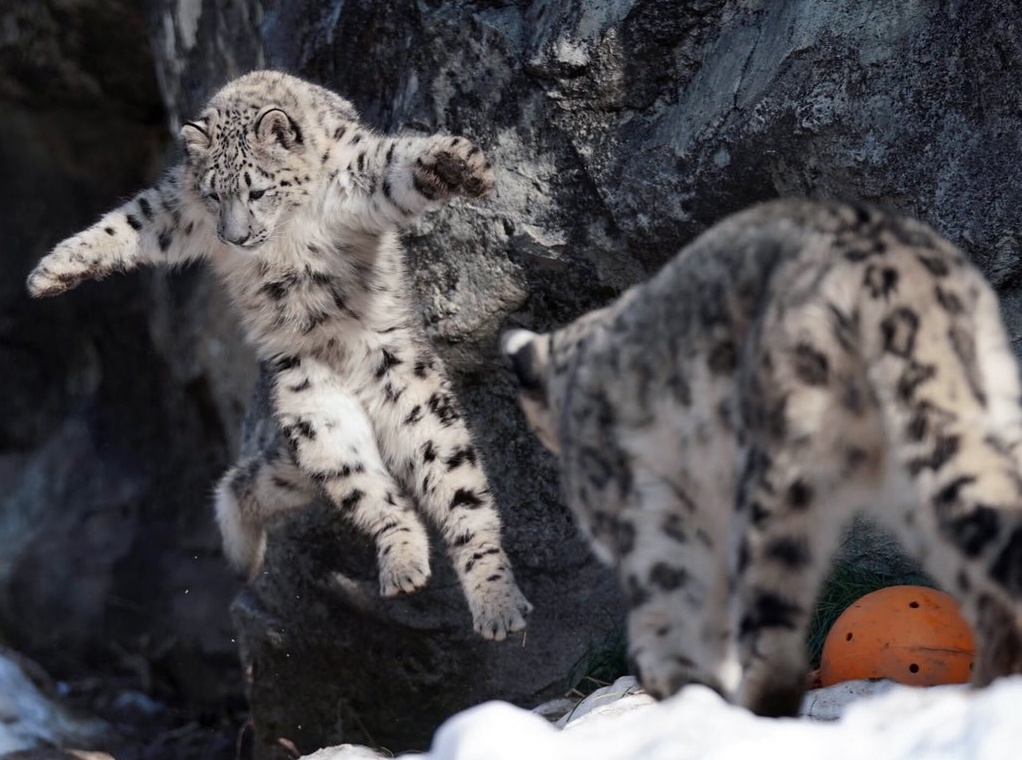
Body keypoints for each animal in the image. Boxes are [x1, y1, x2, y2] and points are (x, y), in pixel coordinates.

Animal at [26, 71, 531, 641]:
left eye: (258, 190)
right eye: (213, 193)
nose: (235, 236)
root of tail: (362, 394)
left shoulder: (356, 178)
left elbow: (394, 166)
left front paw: (456, 163)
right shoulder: (176, 208)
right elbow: (127, 224)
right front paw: (50, 272)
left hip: (419, 405)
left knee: (463, 498)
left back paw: (495, 602)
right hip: (314, 409)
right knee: (362, 488)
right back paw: (400, 563)